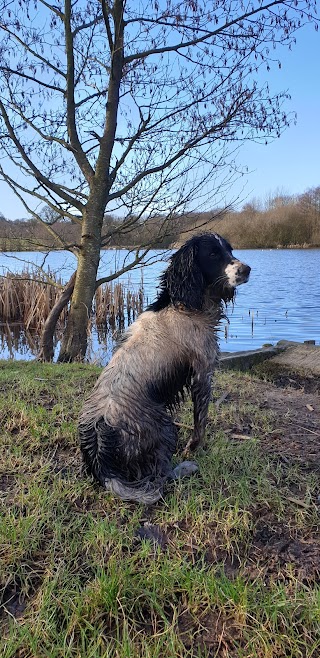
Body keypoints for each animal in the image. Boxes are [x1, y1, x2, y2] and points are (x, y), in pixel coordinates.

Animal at [79, 232, 251, 502]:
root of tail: (103, 462)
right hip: (165, 426)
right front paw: (195, 449)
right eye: (213, 254)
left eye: (230, 250)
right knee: (162, 476)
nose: (246, 269)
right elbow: (200, 423)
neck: (183, 304)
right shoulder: (203, 373)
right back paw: (186, 467)